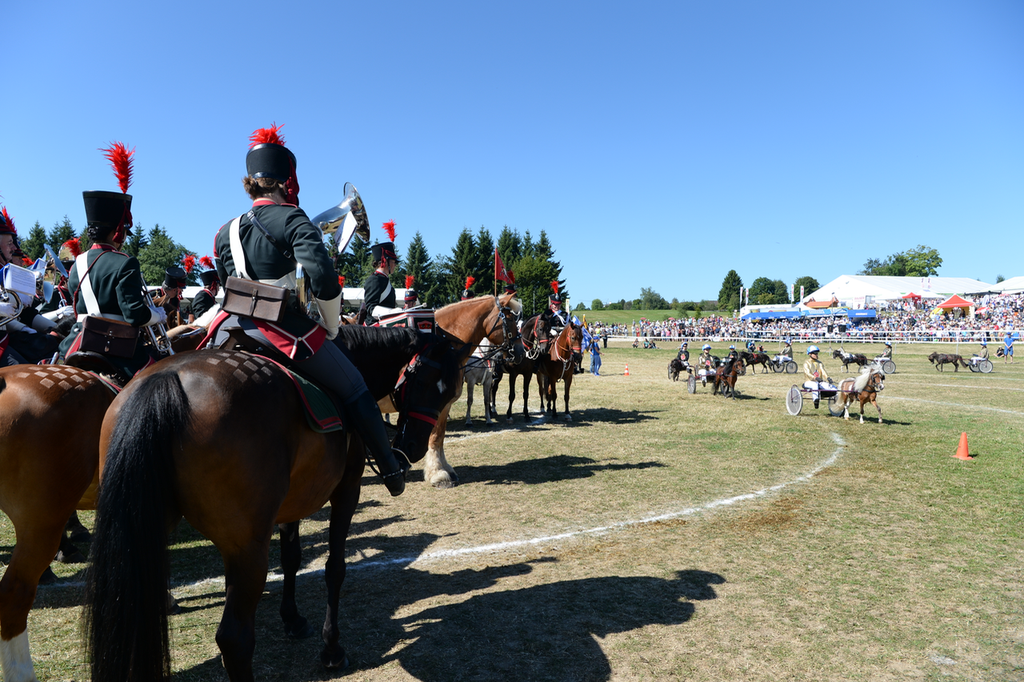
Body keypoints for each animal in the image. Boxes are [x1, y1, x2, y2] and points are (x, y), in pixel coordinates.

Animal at [84, 325, 464, 679]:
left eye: (451, 390)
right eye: (425, 381)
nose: (415, 447)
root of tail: (165, 378)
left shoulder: (292, 502)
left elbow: (292, 558)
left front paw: (293, 619)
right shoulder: (347, 491)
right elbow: (334, 568)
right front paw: (332, 649)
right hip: (246, 549)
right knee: (234, 639)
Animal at [423, 288, 520, 485]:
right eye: (510, 320)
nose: (522, 351)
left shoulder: (484, 383)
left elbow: (440, 435)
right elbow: (436, 434)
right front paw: (438, 473)